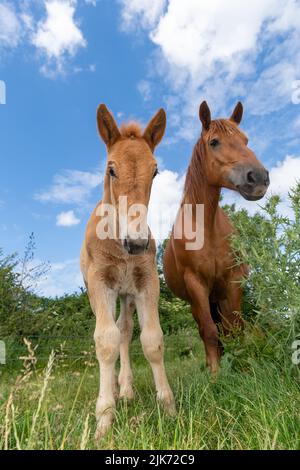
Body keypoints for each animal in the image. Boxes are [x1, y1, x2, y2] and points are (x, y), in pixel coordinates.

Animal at [81, 104, 176, 438]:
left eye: (155, 171)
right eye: (111, 169)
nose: (136, 243)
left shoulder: (146, 283)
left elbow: (152, 340)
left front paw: (169, 408)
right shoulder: (100, 283)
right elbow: (105, 341)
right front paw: (103, 420)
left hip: (127, 295)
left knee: (125, 329)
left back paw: (126, 389)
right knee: (113, 332)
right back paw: (115, 391)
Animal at [164, 102, 270, 374]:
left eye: (246, 140)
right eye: (214, 142)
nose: (258, 178)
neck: (206, 229)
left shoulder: (233, 280)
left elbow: (235, 327)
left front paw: (244, 366)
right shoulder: (196, 285)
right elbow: (209, 331)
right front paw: (215, 373)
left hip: (218, 296)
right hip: (199, 301)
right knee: (207, 329)